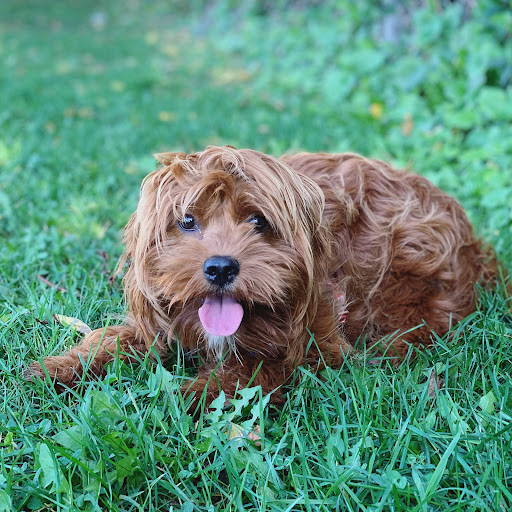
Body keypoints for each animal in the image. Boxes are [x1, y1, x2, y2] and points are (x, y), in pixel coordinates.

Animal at [27, 146, 496, 406]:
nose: (220, 267)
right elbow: (115, 338)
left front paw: (199, 394)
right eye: (187, 221)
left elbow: (259, 366)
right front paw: (63, 367)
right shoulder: (158, 318)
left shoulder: (318, 341)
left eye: (258, 221)